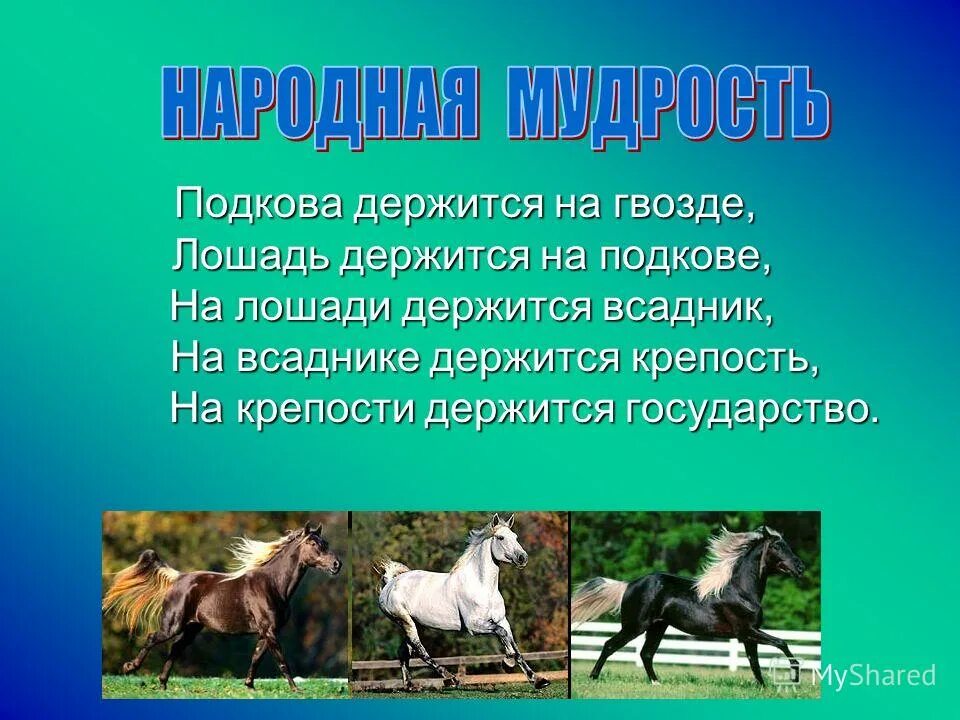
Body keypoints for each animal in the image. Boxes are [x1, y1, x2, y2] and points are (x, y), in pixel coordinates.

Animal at [102, 522, 341, 691]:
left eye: (326, 543)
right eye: (313, 544)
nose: (337, 565)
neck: (273, 585)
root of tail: (179, 578)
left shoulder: (267, 632)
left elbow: (256, 657)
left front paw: (249, 686)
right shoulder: (270, 631)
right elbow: (282, 661)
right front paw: (296, 690)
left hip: (192, 628)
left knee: (176, 648)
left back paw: (162, 684)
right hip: (172, 625)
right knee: (153, 638)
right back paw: (130, 668)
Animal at [374, 513, 550, 690]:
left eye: (515, 537)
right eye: (501, 537)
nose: (522, 558)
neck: (483, 587)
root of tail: (390, 583)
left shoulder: (502, 620)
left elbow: (514, 645)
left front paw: (538, 680)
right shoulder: (474, 626)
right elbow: (502, 634)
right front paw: (508, 661)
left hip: (414, 623)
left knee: (404, 651)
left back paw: (410, 686)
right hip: (405, 621)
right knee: (420, 650)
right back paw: (450, 678)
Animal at [571, 525, 806, 686]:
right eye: (777, 546)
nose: (800, 567)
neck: (741, 591)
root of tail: (629, 585)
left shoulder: (748, 635)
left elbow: (754, 663)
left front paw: (764, 687)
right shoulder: (747, 631)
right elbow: (781, 643)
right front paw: (794, 677)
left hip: (657, 627)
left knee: (646, 654)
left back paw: (657, 683)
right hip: (634, 627)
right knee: (609, 645)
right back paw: (593, 678)